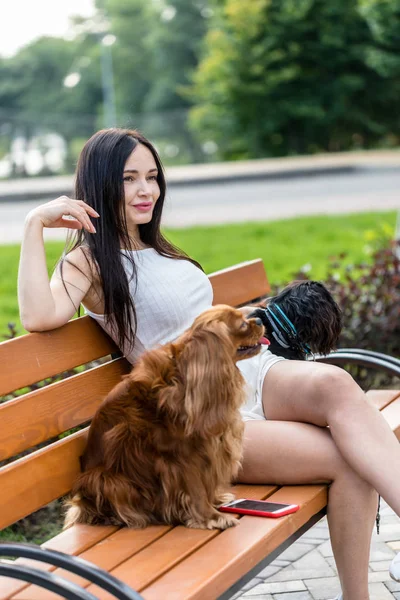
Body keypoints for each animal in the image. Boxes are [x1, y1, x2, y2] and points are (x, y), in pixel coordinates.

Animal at [65, 304, 266, 528]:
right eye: (241, 325)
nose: (259, 319)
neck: (183, 379)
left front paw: (216, 500)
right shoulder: (182, 457)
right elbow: (196, 489)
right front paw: (213, 517)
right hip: (106, 479)